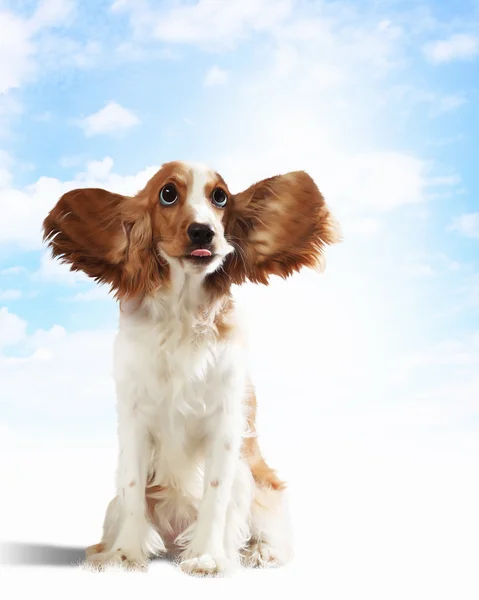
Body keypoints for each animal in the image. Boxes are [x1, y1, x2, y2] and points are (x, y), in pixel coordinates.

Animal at [43, 161, 340, 576]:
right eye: (168, 194)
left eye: (221, 197)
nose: (204, 231)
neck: (182, 311)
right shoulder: (134, 418)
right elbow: (132, 489)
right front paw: (124, 556)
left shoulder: (225, 422)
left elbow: (216, 495)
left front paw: (208, 557)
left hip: (259, 485)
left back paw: (259, 552)